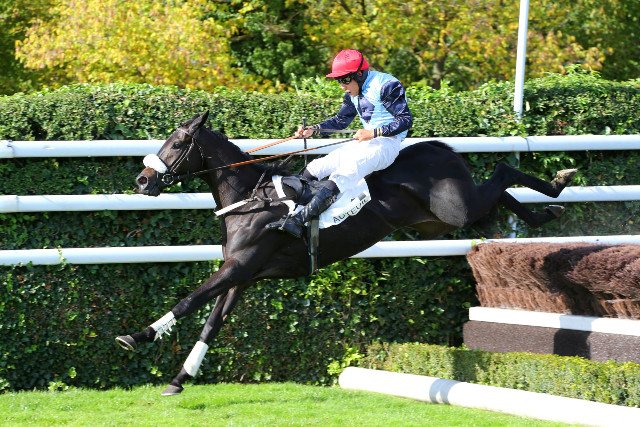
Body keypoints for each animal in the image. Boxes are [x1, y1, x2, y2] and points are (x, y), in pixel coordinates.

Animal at [116, 111, 577, 395]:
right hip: (442, 220)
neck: (251, 199)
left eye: (178, 142)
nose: (142, 180)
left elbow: (190, 300)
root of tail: (437, 148)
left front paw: (135, 336)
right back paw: (546, 210)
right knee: (500, 193)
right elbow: (211, 324)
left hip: (456, 208)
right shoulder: (243, 275)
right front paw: (179, 378)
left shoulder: (238, 266)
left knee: (501, 172)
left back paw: (559, 181)